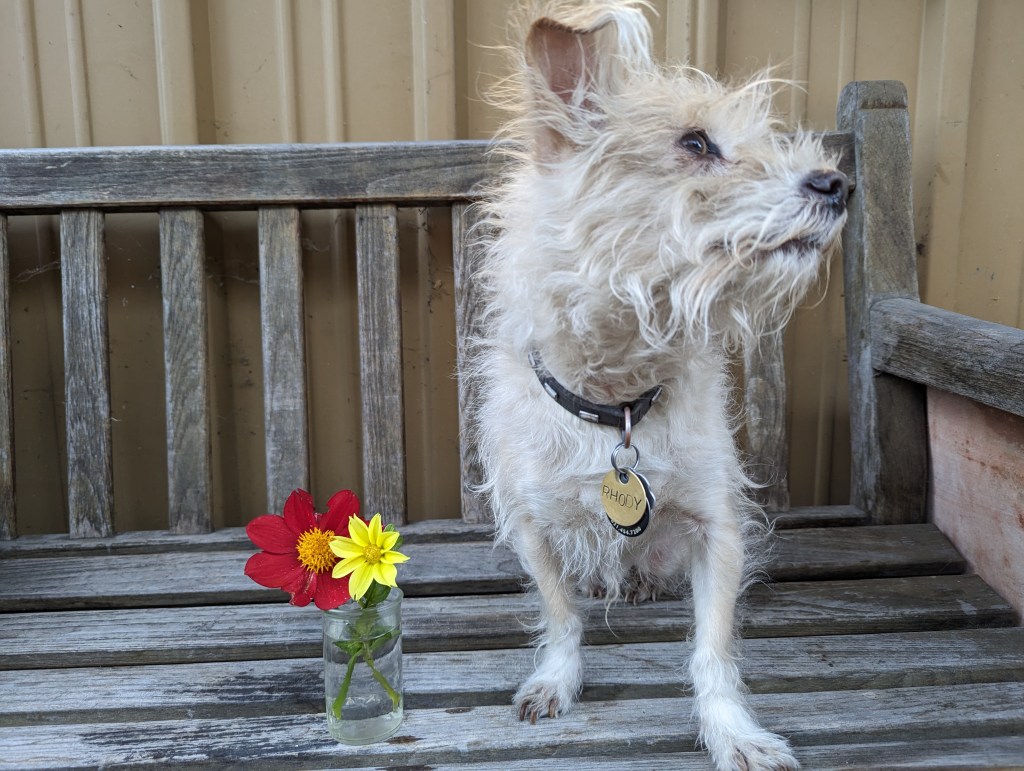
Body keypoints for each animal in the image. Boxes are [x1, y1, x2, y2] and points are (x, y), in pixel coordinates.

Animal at [471, 2, 849, 769]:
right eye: (695, 143)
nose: (839, 184)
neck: (617, 401)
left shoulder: (717, 528)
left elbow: (714, 648)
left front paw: (733, 731)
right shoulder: (530, 524)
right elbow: (561, 614)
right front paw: (557, 677)